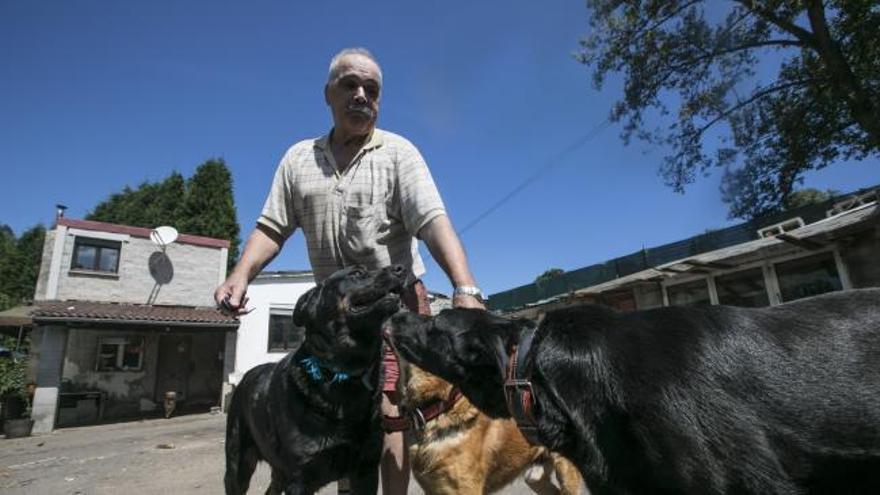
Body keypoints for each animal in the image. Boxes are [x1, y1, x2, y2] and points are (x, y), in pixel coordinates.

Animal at [225, 266, 408, 495]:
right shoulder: (299, 479)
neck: (343, 374)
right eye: (357, 273)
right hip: (238, 464)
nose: (401, 269)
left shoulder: (366, 469)